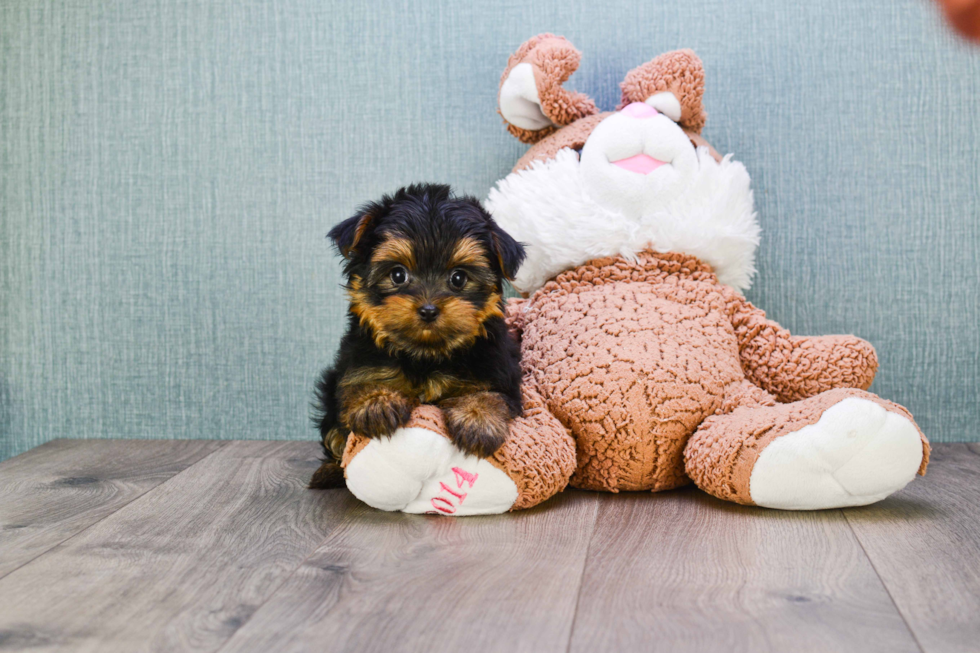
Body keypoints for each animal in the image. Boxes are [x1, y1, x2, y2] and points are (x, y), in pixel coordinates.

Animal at [312, 181, 528, 486]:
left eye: (458, 278)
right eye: (398, 275)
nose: (428, 310)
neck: (426, 355)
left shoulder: (499, 372)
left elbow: (491, 394)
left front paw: (477, 417)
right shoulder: (357, 364)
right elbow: (360, 382)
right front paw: (376, 401)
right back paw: (330, 471)